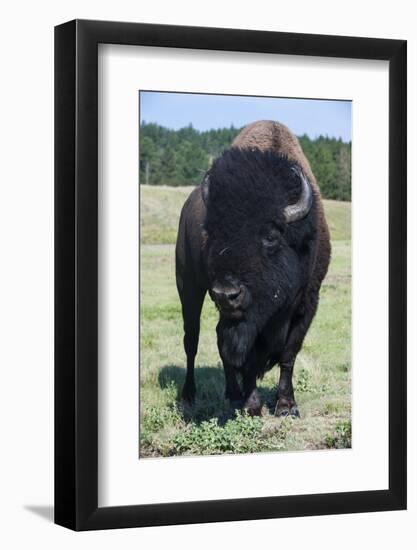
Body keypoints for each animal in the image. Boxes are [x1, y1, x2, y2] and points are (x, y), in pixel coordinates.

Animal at [174, 119, 330, 414]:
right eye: (211, 232)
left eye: (271, 236)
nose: (226, 294)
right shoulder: (246, 319)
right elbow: (246, 355)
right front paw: (253, 405)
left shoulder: (308, 302)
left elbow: (289, 353)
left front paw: (286, 405)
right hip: (189, 286)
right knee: (192, 339)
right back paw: (190, 395)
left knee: (218, 339)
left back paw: (231, 392)